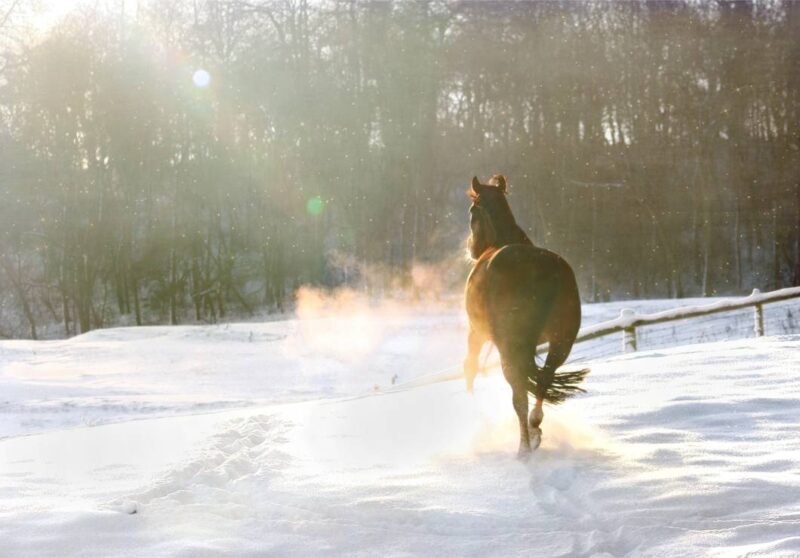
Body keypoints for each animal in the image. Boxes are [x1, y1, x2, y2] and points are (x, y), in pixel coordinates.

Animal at [464, 175, 588, 458]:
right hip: (561, 342)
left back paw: (523, 449)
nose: (471, 250)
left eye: (472, 211)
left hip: (509, 347)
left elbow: (470, 368)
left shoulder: (476, 333)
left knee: (519, 394)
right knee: (543, 379)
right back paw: (535, 427)